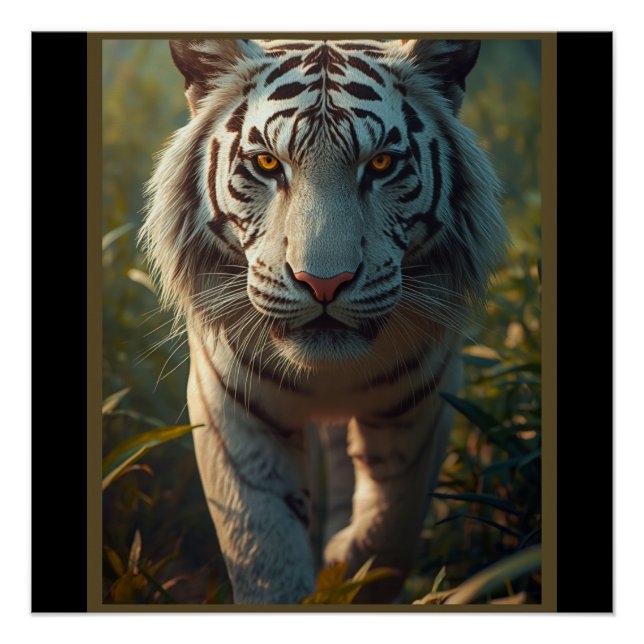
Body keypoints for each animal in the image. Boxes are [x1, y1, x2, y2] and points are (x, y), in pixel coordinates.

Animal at [140, 38, 507, 604]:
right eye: (268, 163)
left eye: (381, 163)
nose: (323, 283)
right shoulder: (230, 407)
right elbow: (263, 550)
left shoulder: (426, 398)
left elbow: (391, 524)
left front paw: (347, 571)